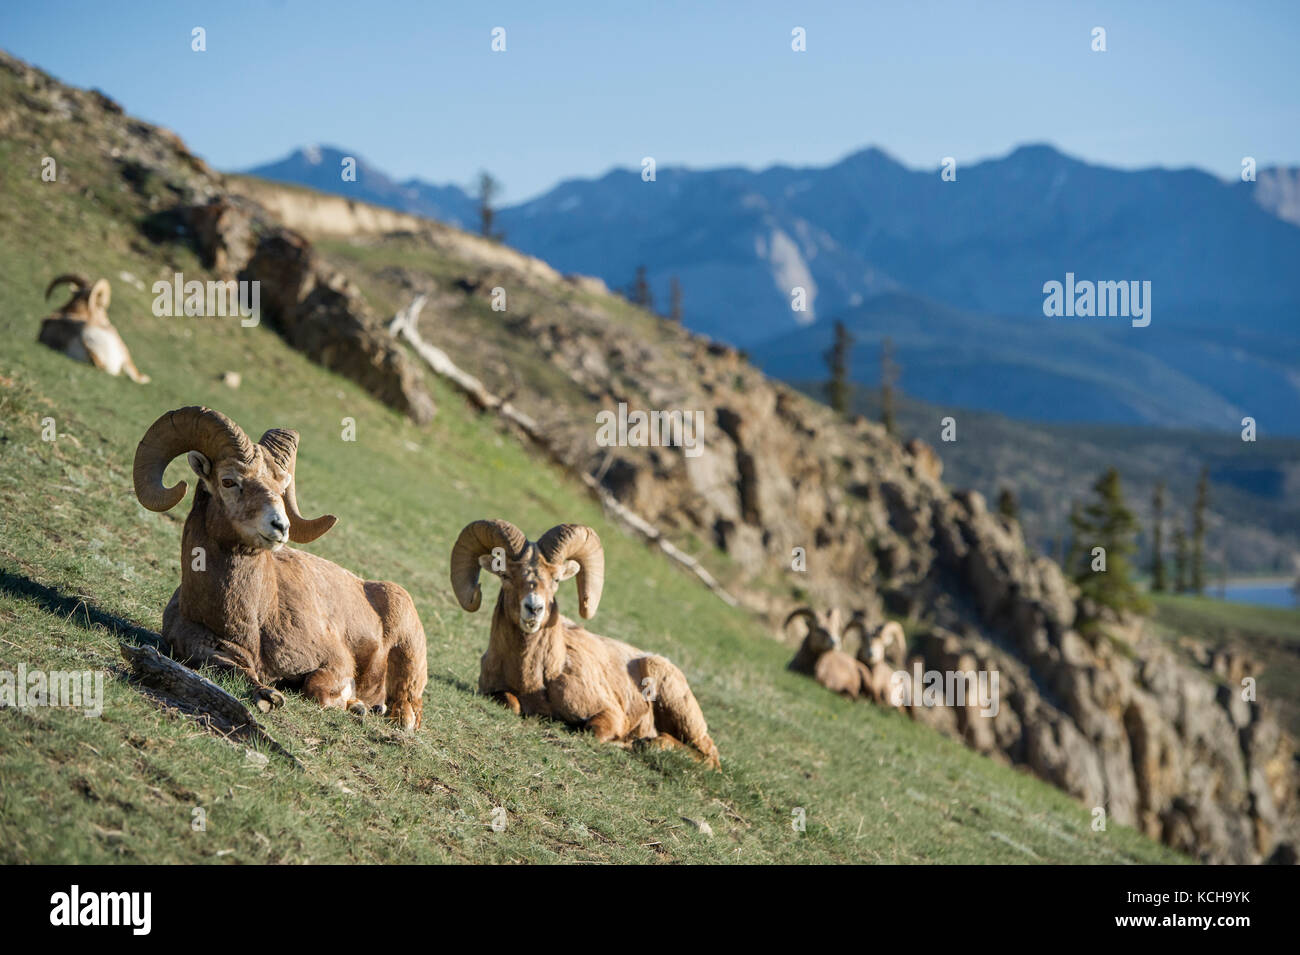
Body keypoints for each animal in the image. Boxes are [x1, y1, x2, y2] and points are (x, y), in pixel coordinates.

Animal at [133, 406, 427, 730]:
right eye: (228, 481)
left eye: (282, 487)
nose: (280, 526)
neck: (259, 617)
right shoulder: (207, 650)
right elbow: (238, 671)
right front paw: (268, 696)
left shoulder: (335, 663)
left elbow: (317, 690)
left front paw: (354, 705)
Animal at [449, 519, 720, 768]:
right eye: (505, 575)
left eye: (556, 580)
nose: (534, 608)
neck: (536, 679)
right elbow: (511, 704)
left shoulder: (610, 714)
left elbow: (591, 730)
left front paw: (623, 742)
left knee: (708, 755)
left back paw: (647, 743)